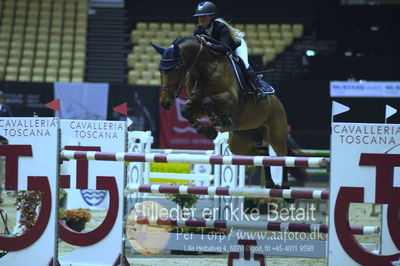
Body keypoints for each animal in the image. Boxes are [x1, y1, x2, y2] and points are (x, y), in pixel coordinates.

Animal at [151, 35, 306, 189]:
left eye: (176, 68)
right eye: (160, 69)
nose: (164, 103)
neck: (205, 71)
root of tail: (278, 103)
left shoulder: (230, 100)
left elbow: (207, 101)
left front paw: (218, 122)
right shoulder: (196, 104)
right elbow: (186, 110)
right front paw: (208, 131)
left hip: (276, 133)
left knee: (283, 156)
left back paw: (285, 187)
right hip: (241, 143)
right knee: (263, 153)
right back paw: (270, 183)